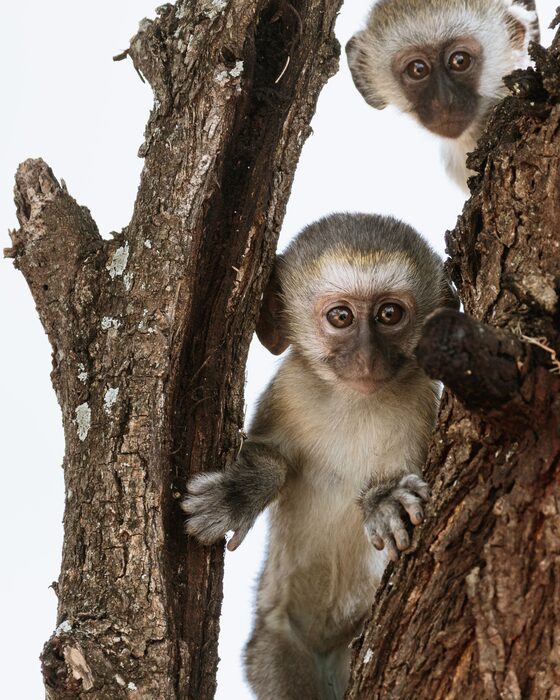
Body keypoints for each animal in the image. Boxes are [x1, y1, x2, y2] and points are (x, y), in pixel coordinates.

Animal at [182, 213, 459, 700]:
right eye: (341, 317)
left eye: (390, 314)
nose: (367, 358)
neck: (353, 400)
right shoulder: (286, 393)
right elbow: (269, 456)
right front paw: (238, 494)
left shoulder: (425, 409)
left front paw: (384, 501)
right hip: (277, 646)